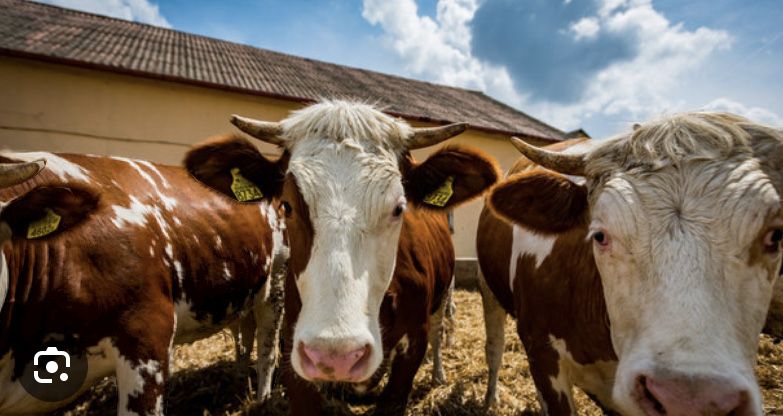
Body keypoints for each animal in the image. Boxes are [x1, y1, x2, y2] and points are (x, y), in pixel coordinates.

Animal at [187, 99, 500, 414]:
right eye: (286, 206)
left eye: (399, 208)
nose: (336, 356)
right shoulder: (293, 348)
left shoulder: (412, 347)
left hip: (443, 296)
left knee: (439, 331)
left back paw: (437, 374)